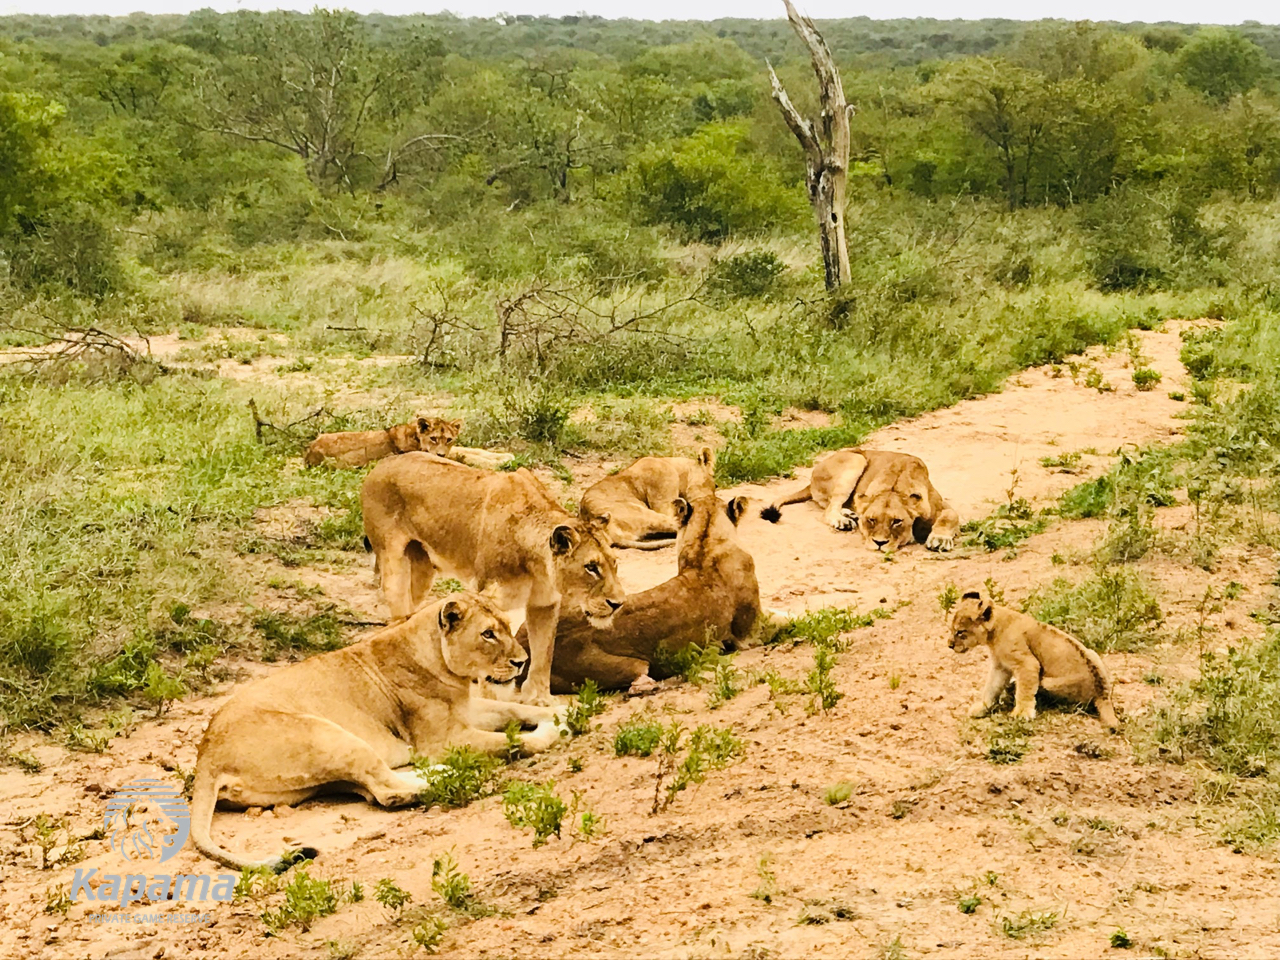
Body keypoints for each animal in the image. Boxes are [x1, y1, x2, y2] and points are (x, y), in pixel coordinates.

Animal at [190, 592, 561, 871]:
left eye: (507, 627)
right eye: (487, 634)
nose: (521, 661)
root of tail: (205, 756)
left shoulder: (467, 711)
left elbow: (516, 710)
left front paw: (559, 713)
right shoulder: (443, 740)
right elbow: (511, 741)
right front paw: (550, 731)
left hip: (316, 777)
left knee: (374, 786)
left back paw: (444, 772)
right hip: (328, 733)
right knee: (385, 792)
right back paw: (461, 776)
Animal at [361, 452, 625, 705]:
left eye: (615, 563)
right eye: (591, 567)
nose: (618, 604)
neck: (538, 567)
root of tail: (379, 465)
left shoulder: (544, 603)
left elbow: (544, 653)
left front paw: (540, 699)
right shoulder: (489, 596)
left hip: (421, 574)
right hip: (393, 567)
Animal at [761, 448, 959, 552]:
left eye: (897, 521)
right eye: (872, 520)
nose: (879, 544)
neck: (894, 488)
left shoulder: (940, 505)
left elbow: (950, 515)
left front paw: (940, 539)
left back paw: (849, 513)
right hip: (856, 459)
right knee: (829, 509)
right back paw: (843, 520)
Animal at [948, 588, 1119, 730]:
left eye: (960, 632)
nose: (949, 645)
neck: (994, 633)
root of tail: (1102, 694)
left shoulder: (1027, 663)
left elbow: (1024, 690)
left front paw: (1022, 714)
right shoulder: (1000, 666)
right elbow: (991, 687)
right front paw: (982, 707)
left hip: (1049, 682)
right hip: (1092, 653)